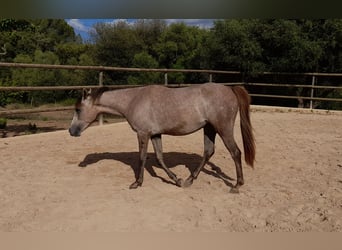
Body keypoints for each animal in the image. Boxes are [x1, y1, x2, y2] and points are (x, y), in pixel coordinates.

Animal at [69, 83, 255, 192]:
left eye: (78, 109)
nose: (71, 131)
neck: (133, 100)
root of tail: (230, 88)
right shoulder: (155, 134)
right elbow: (159, 158)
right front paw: (177, 180)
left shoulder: (143, 133)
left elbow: (142, 157)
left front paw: (137, 183)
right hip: (209, 129)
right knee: (208, 152)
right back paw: (189, 180)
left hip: (223, 129)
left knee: (235, 152)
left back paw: (237, 185)